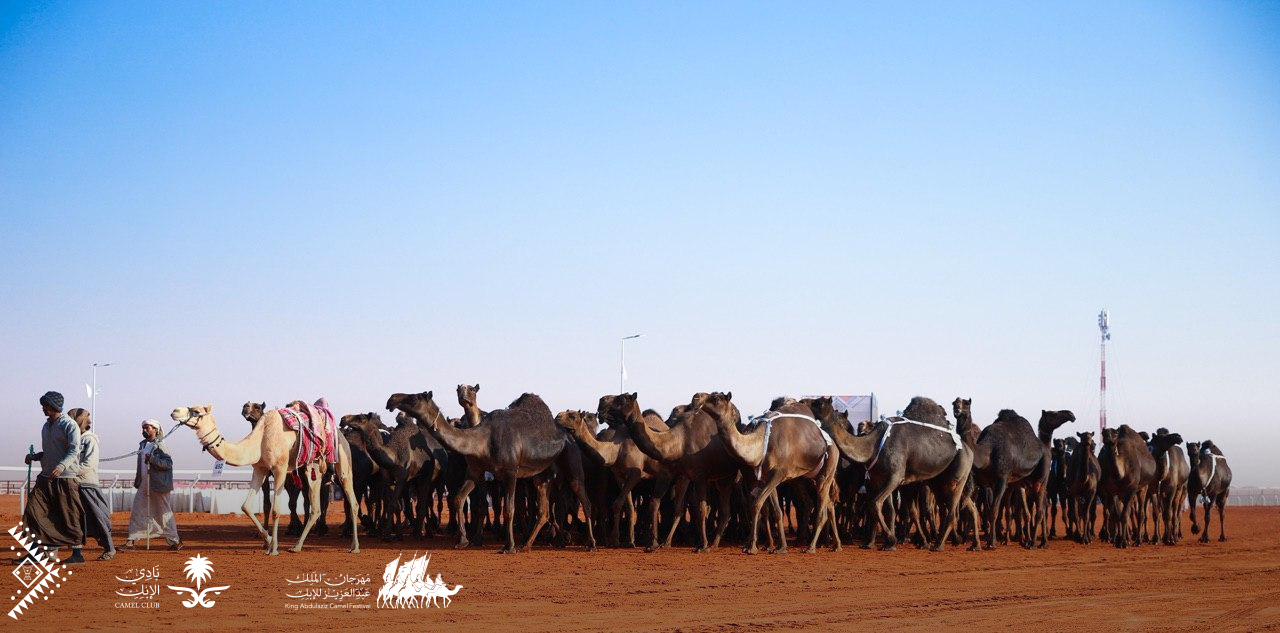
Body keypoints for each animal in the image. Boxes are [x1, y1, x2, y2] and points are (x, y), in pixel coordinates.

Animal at [168, 406, 360, 554]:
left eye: (196, 411)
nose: (174, 411)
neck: (259, 439)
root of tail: (340, 433)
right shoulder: (259, 469)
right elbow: (245, 506)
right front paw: (268, 541)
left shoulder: (280, 468)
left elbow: (276, 510)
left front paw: (273, 549)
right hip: (311, 467)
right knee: (316, 508)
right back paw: (296, 547)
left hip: (342, 460)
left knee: (352, 501)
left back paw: (354, 547)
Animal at [386, 388, 596, 552]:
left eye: (415, 397)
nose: (391, 399)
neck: (482, 440)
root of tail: (568, 436)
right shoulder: (475, 471)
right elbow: (458, 499)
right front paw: (463, 541)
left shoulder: (511, 472)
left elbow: (509, 509)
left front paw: (508, 547)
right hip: (542, 475)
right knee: (544, 509)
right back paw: (527, 545)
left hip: (571, 461)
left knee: (584, 500)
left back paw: (590, 544)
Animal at [619, 393, 742, 552]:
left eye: (621, 400)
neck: (680, 441)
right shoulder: (672, 474)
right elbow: (667, 505)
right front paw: (659, 544)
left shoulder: (699, 476)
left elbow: (700, 508)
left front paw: (702, 545)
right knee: (724, 510)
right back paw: (713, 543)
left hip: (728, 476)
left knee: (725, 507)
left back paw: (713, 543)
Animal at [701, 393, 839, 552]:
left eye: (716, 398)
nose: (697, 397)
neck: (760, 444)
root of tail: (834, 445)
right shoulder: (767, 478)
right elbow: (776, 511)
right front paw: (781, 547)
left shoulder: (779, 473)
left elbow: (756, 504)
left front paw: (752, 547)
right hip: (807, 477)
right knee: (826, 504)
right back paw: (836, 545)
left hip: (828, 467)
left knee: (822, 507)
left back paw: (811, 547)